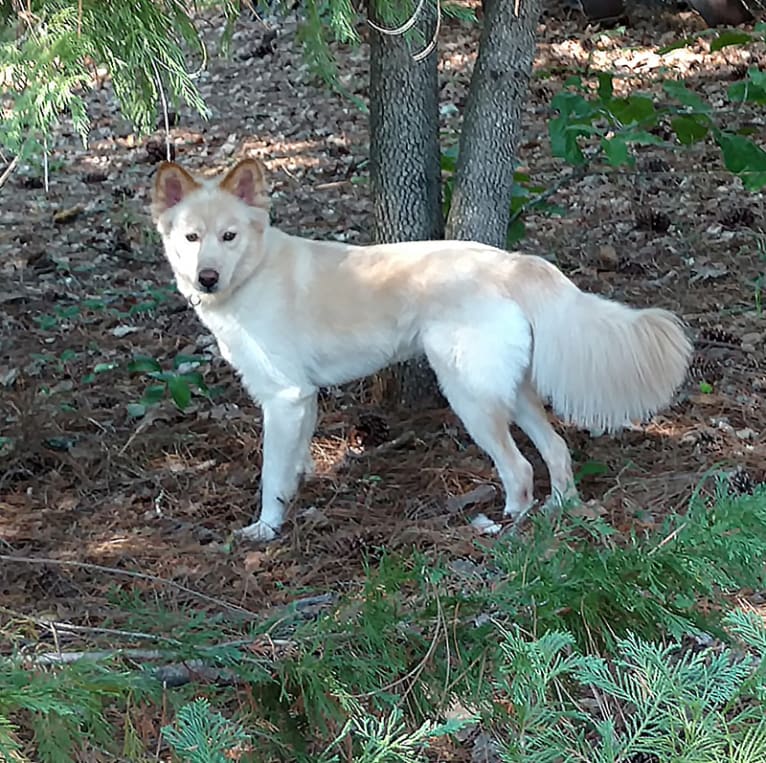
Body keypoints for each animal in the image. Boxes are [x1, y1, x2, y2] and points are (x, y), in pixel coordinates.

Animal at [152, 160, 696, 544]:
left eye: (229, 236)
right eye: (191, 238)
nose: (206, 277)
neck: (254, 271)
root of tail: (510, 262)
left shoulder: (284, 398)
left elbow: (270, 475)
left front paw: (267, 528)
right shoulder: (302, 400)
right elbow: (294, 464)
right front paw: (296, 495)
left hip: (469, 395)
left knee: (520, 468)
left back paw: (508, 525)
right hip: (509, 391)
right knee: (557, 451)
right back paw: (559, 513)